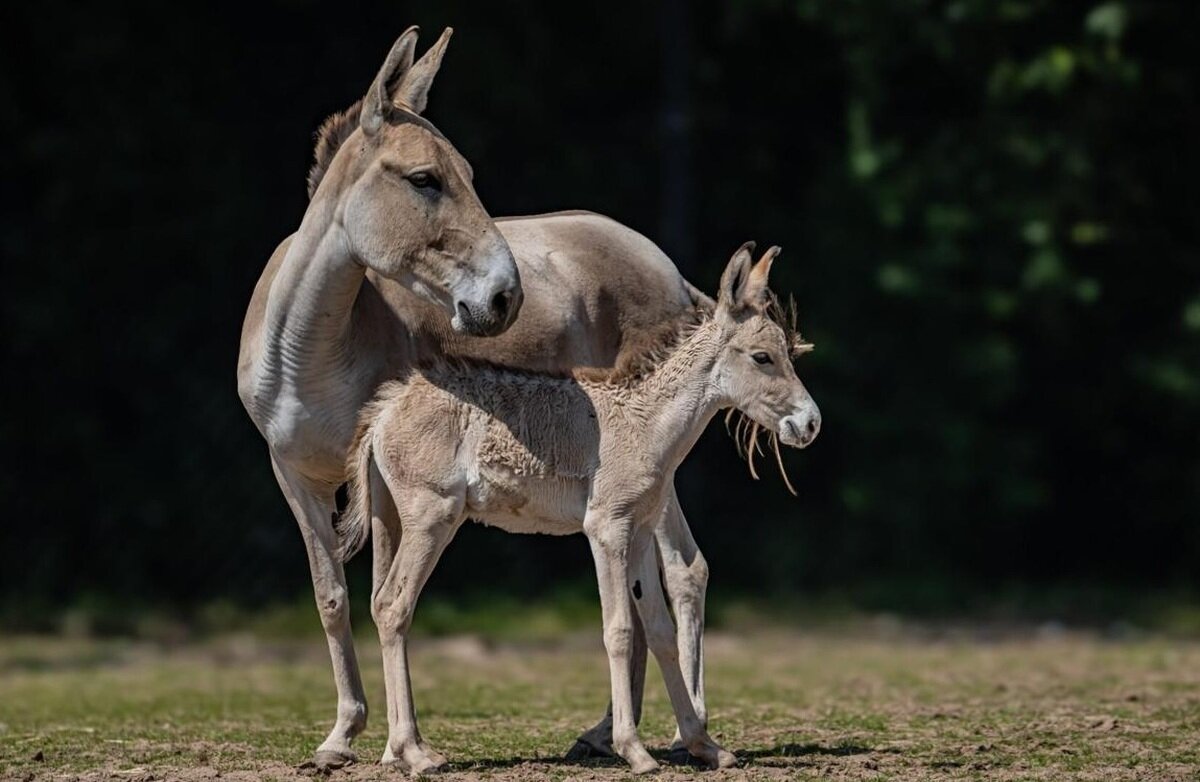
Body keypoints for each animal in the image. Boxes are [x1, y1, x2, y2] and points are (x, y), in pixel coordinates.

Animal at [343, 242, 820, 767]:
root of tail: (385, 410)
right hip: (432, 517)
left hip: (391, 520)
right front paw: (635, 750)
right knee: (393, 606)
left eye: (787, 353)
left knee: (382, 605)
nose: (810, 423)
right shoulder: (607, 530)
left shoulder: (639, 531)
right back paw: (417, 751)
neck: (645, 422)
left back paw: (396, 752)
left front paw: (703, 744)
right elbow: (619, 631)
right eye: (762, 357)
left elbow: (659, 631)